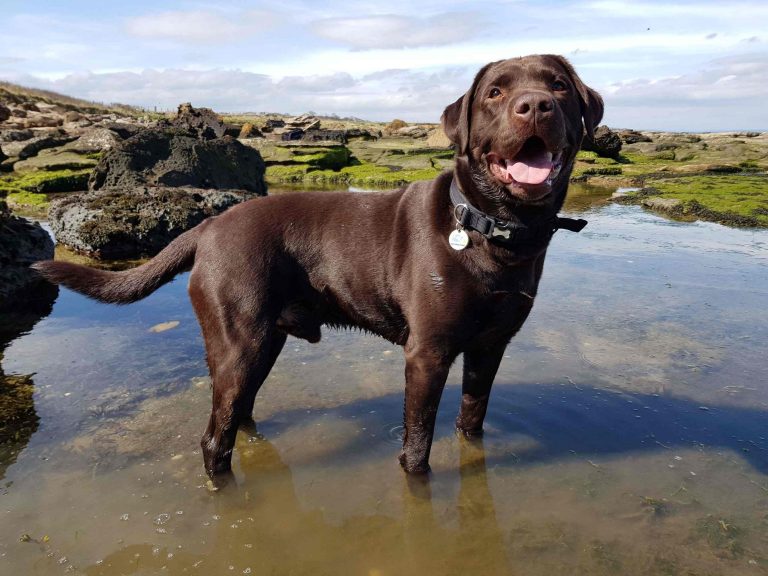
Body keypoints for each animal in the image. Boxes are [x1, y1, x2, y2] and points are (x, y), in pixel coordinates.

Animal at [34, 55, 600, 476]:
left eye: (558, 86)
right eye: (495, 94)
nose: (536, 105)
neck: (494, 230)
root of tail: (207, 227)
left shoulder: (490, 347)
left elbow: (472, 420)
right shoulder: (427, 354)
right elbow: (417, 448)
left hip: (262, 343)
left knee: (239, 413)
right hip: (240, 342)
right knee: (214, 439)